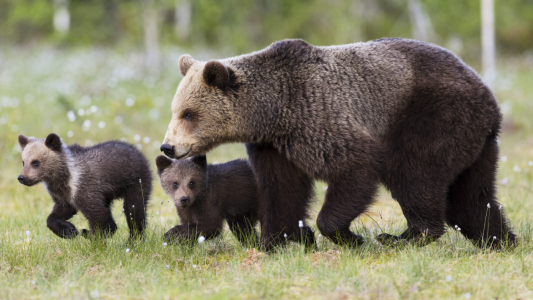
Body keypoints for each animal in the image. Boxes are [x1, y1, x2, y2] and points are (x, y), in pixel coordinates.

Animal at [159, 39, 516, 251]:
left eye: (189, 113)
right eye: (175, 110)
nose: (168, 147)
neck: (273, 112)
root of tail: (489, 97)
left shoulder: (317, 117)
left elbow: (355, 166)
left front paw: (347, 236)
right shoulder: (274, 147)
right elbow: (282, 190)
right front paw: (274, 241)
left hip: (430, 116)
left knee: (415, 174)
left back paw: (404, 236)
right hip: (474, 144)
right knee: (471, 197)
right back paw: (500, 239)